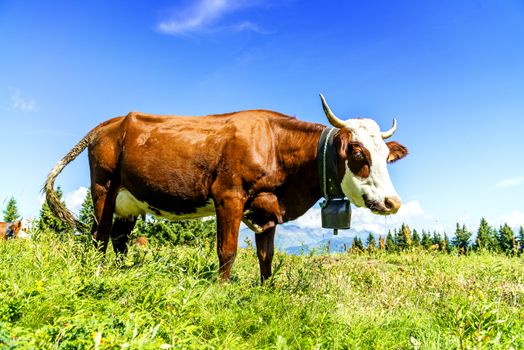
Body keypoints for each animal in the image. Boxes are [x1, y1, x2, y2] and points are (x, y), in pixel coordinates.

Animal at [45, 95, 408, 282]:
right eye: (358, 153)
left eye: (386, 156)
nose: (392, 202)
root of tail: (106, 125)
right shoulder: (229, 196)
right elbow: (227, 250)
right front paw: (221, 290)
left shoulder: (267, 205)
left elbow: (266, 255)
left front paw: (267, 291)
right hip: (103, 188)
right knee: (100, 237)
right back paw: (99, 274)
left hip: (129, 200)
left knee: (119, 240)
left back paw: (122, 274)